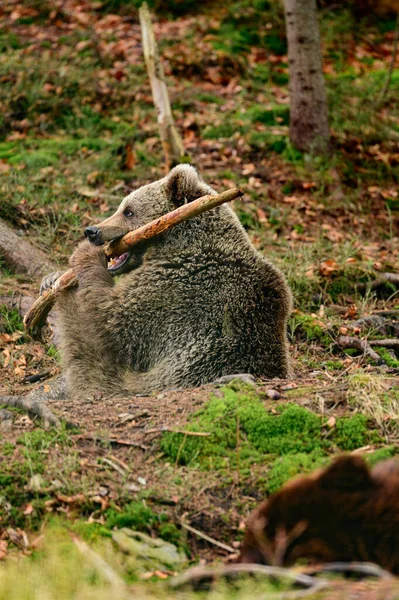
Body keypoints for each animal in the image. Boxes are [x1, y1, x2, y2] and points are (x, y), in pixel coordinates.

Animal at [39, 164, 292, 400]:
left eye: (128, 211)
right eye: (122, 207)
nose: (91, 231)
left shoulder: (177, 286)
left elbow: (110, 321)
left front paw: (83, 257)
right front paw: (51, 278)